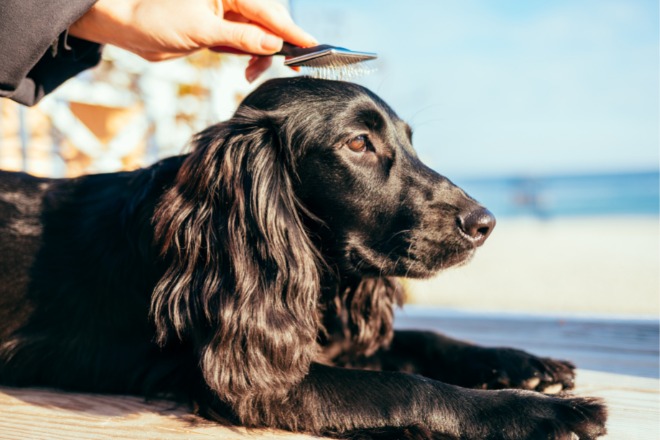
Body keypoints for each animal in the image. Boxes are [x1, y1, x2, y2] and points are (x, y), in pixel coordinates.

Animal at [0, 79, 604, 440]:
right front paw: (538, 412)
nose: (484, 223)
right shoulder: (252, 379)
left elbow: (426, 340)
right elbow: (405, 386)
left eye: (410, 142)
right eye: (358, 144)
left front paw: (526, 366)